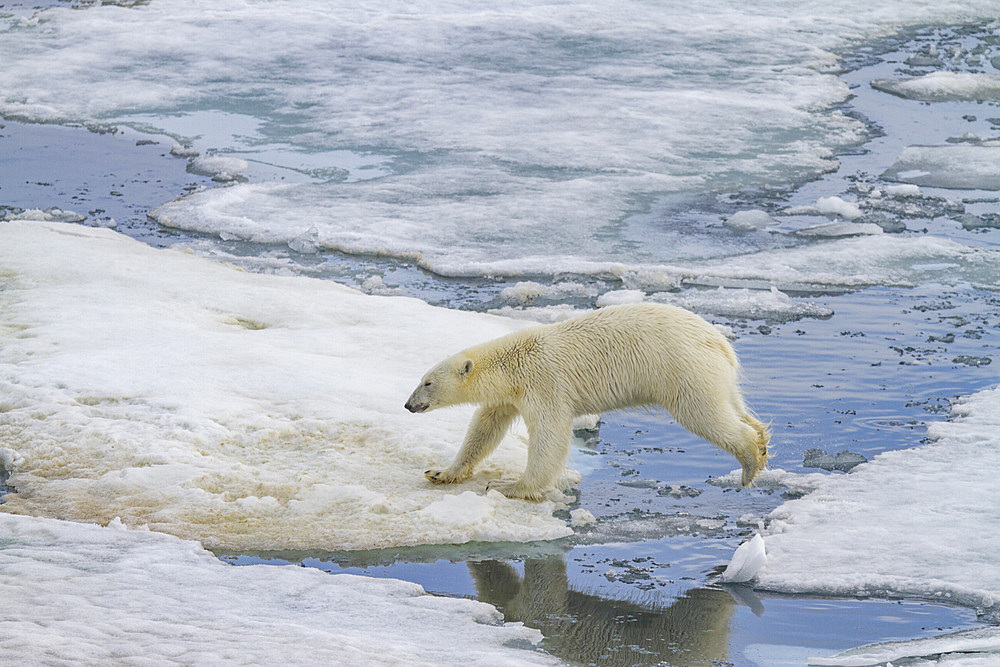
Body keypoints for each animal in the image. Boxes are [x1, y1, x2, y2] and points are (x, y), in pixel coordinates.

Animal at [402, 302, 768, 500]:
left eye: (427, 382)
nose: (408, 405)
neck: (513, 362)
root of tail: (719, 341)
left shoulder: (544, 382)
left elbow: (550, 435)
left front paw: (511, 486)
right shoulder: (509, 395)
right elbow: (485, 427)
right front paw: (441, 472)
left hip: (684, 369)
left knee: (704, 413)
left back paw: (750, 461)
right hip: (715, 374)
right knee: (734, 406)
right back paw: (762, 440)